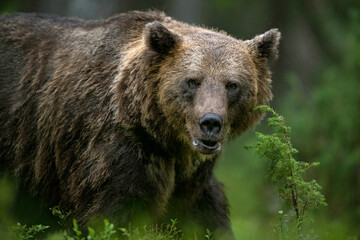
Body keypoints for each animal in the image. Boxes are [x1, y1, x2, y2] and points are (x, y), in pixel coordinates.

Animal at [0, 10, 280, 238]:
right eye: (192, 81)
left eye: (232, 85)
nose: (211, 123)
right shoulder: (115, 149)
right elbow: (113, 214)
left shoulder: (191, 178)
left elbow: (203, 217)